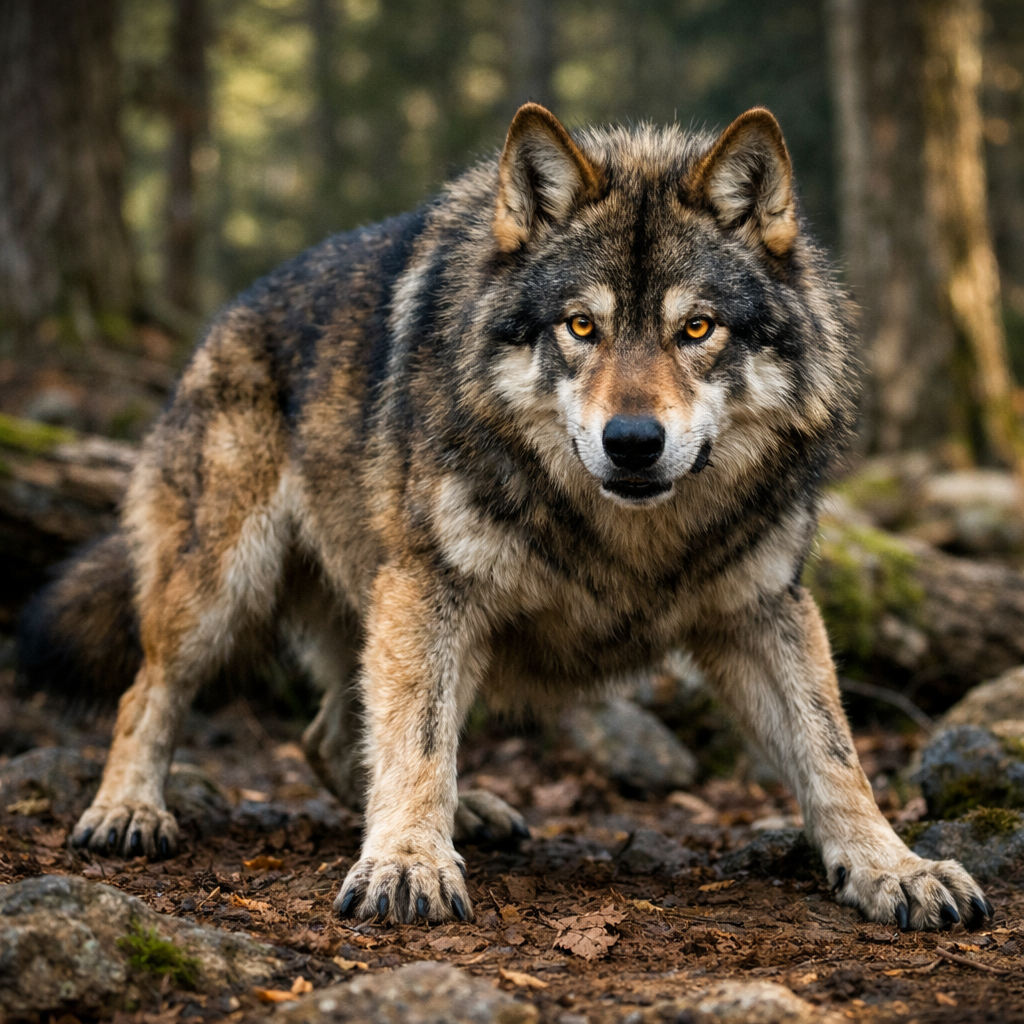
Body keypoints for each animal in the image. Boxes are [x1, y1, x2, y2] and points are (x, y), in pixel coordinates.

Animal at [20, 103, 992, 930]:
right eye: (581, 327)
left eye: (698, 329)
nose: (631, 441)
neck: (632, 541)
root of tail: (226, 316)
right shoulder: (433, 588)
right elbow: (416, 741)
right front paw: (408, 863)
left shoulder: (764, 609)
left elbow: (835, 755)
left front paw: (894, 868)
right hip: (232, 590)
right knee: (152, 691)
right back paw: (127, 810)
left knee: (327, 734)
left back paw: (470, 810)